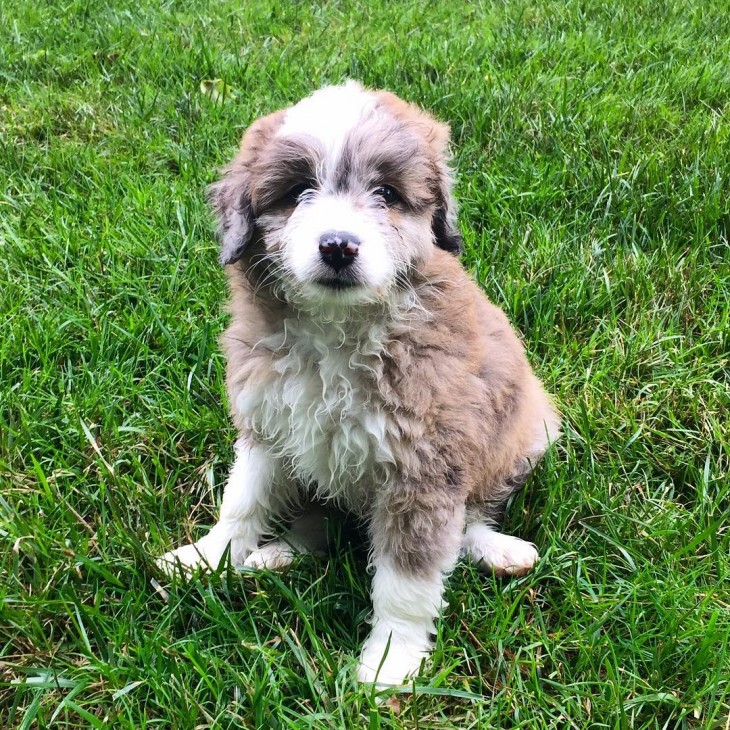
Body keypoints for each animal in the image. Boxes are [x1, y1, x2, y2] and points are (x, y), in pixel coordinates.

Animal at [159, 82, 556, 684]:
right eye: (298, 192)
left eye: (386, 193)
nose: (339, 245)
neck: (336, 329)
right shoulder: (267, 427)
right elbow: (242, 502)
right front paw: (208, 558)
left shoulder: (425, 468)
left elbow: (408, 581)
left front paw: (390, 663)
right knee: (324, 518)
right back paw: (277, 555)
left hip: (527, 432)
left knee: (471, 517)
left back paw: (498, 550)